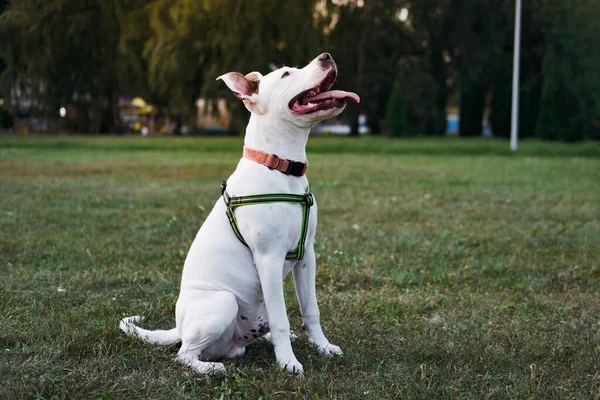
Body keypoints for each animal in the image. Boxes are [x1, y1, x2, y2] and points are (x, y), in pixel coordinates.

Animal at [119, 53, 358, 376]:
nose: (327, 57)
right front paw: (288, 363)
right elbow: (282, 319)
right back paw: (210, 368)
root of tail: (179, 328)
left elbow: (311, 309)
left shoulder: (307, 255)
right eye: (286, 74)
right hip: (224, 302)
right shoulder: (269, 259)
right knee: (184, 354)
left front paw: (322, 347)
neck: (280, 167)